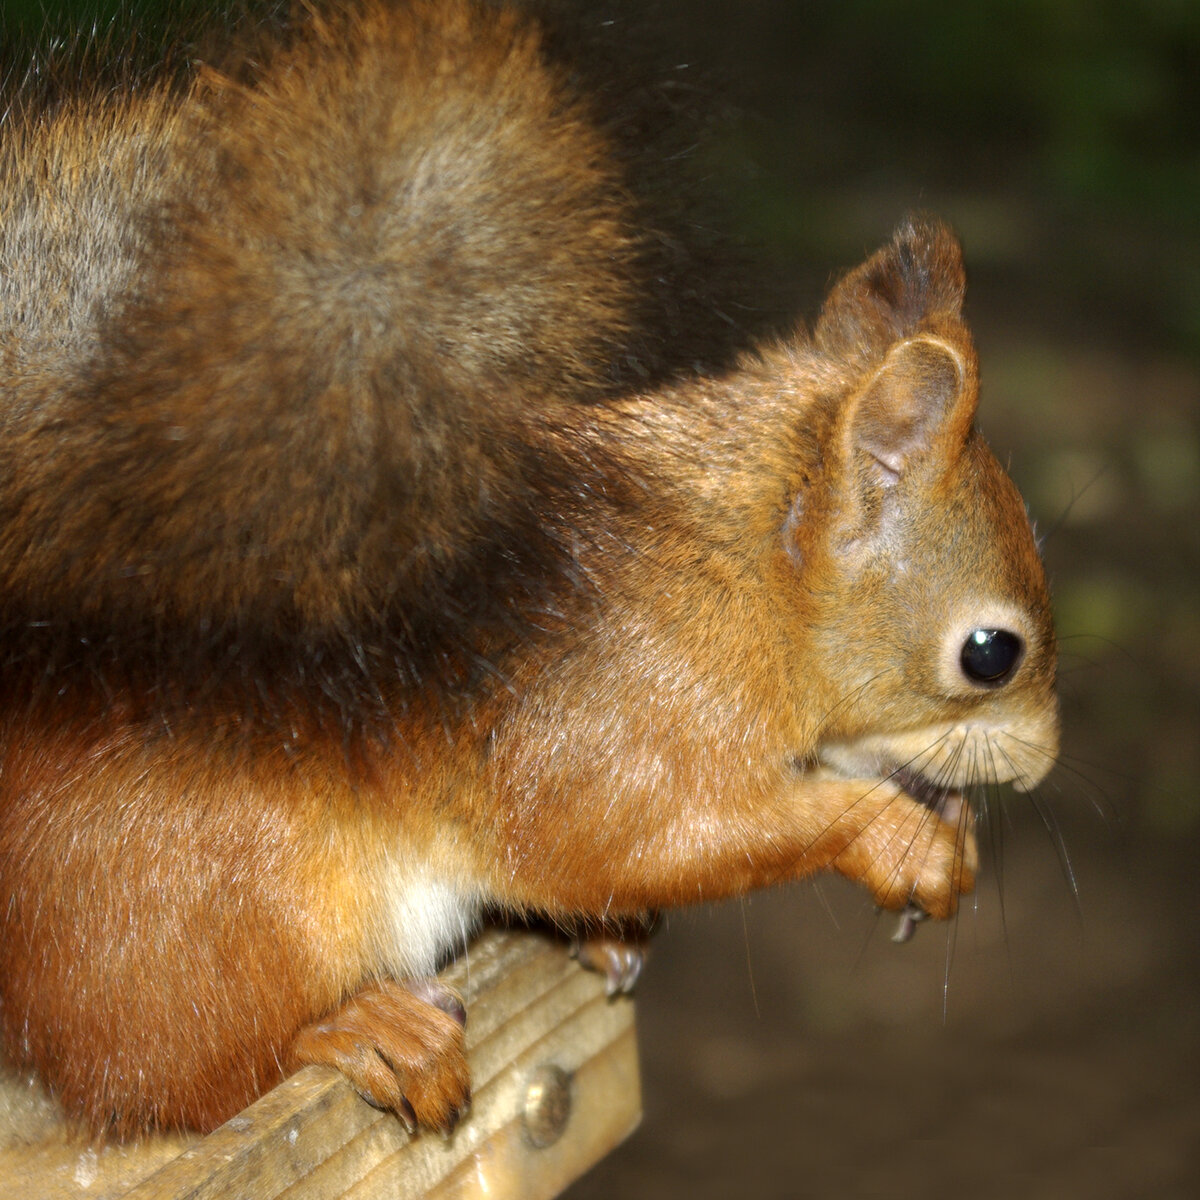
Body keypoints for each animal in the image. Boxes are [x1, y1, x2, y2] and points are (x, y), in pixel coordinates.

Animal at [0, 0, 1060, 1137]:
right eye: (989, 653)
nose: (1041, 762)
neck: (730, 577)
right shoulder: (613, 726)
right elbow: (640, 841)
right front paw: (903, 841)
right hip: (216, 910)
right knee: (177, 1077)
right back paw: (363, 1028)